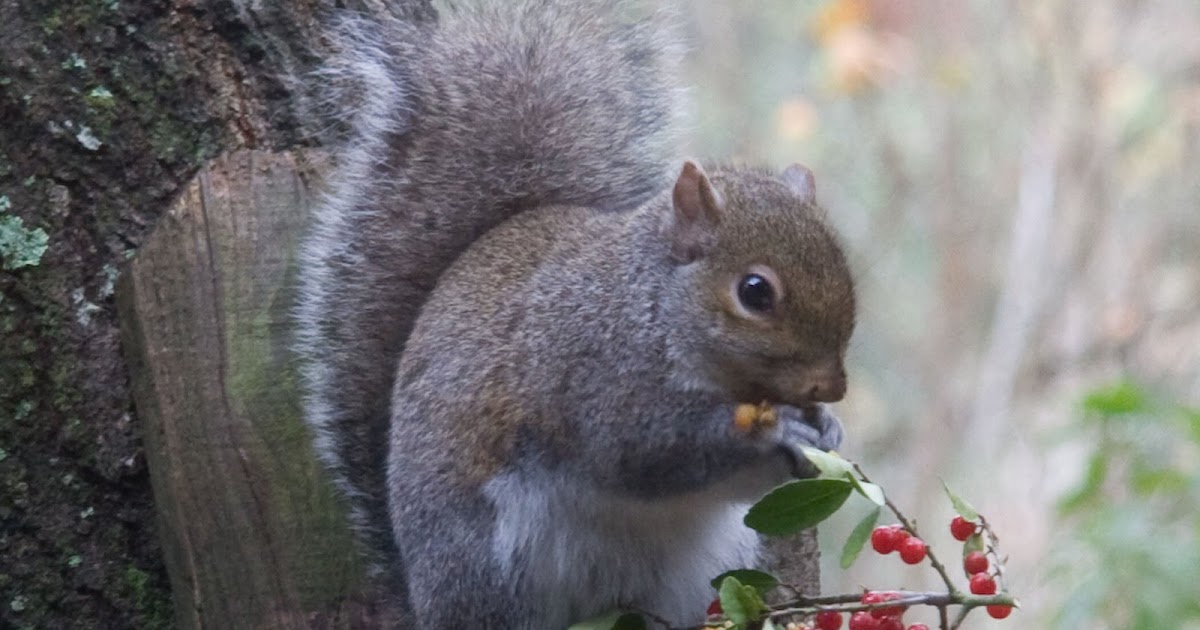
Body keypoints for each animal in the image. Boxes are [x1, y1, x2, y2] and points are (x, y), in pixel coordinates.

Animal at [295, 1, 856, 628]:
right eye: (755, 291)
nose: (832, 388)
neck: (649, 308)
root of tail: (421, 602)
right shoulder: (591, 374)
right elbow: (645, 453)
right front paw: (775, 430)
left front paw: (827, 432)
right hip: (488, 569)